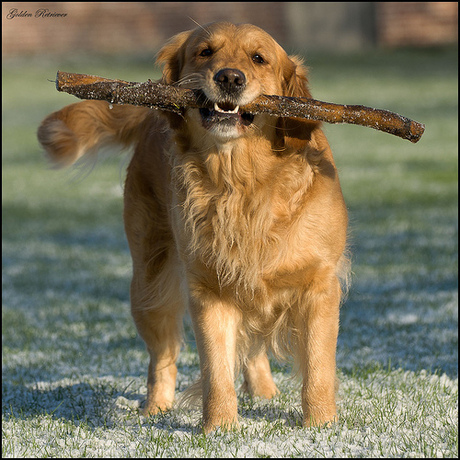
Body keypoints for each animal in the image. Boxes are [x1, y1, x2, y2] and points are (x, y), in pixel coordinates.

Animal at [37, 20, 348, 432]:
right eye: (205, 52)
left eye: (258, 58)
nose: (229, 77)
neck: (241, 182)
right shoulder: (208, 288)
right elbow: (216, 369)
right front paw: (219, 428)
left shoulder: (319, 285)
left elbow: (318, 368)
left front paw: (321, 427)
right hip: (150, 282)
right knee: (163, 356)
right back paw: (156, 408)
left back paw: (264, 393)